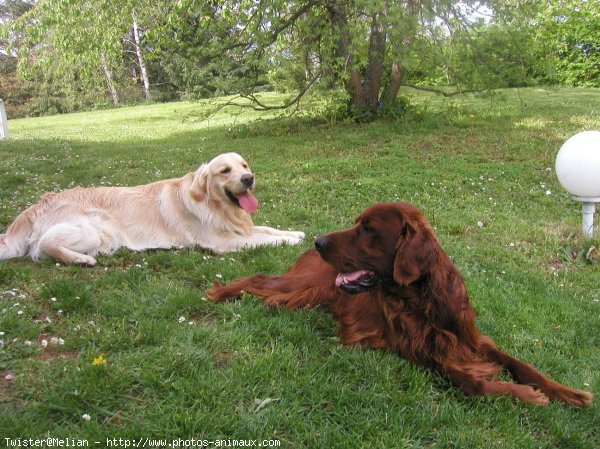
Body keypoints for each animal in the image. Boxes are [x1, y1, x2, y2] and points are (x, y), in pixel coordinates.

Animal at [0, 152, 304, 264]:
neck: (217, 207)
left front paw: (295, 233)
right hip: (93, 230)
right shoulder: (222, 242)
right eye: (225, 171)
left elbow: (267, 228)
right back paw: (81, 260)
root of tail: (38, 203)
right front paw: (288, 241)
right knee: (42, 246)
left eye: (244, 165)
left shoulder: (242, 227)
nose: (248, 178)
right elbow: (264, 238)